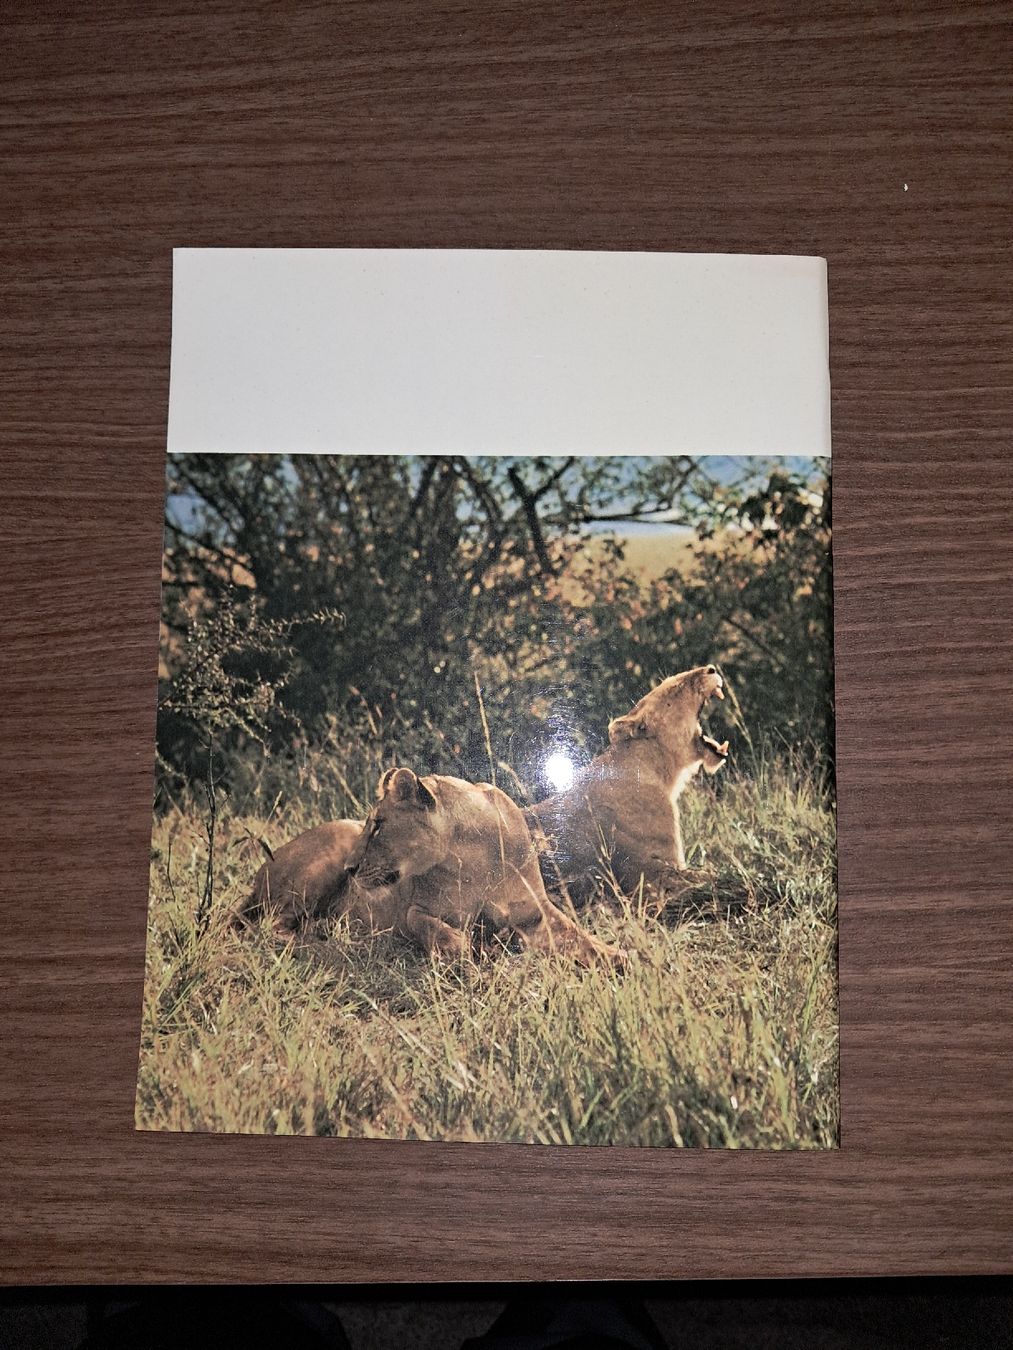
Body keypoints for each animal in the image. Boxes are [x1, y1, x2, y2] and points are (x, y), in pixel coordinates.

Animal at [344, 767, 625, 966]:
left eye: (378, 825)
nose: (349, 868)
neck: (470, 858)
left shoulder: (534, 911)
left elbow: (582, 938)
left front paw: (619, 957)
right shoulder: (417, 908)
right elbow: (419, 921)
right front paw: (455, 947)